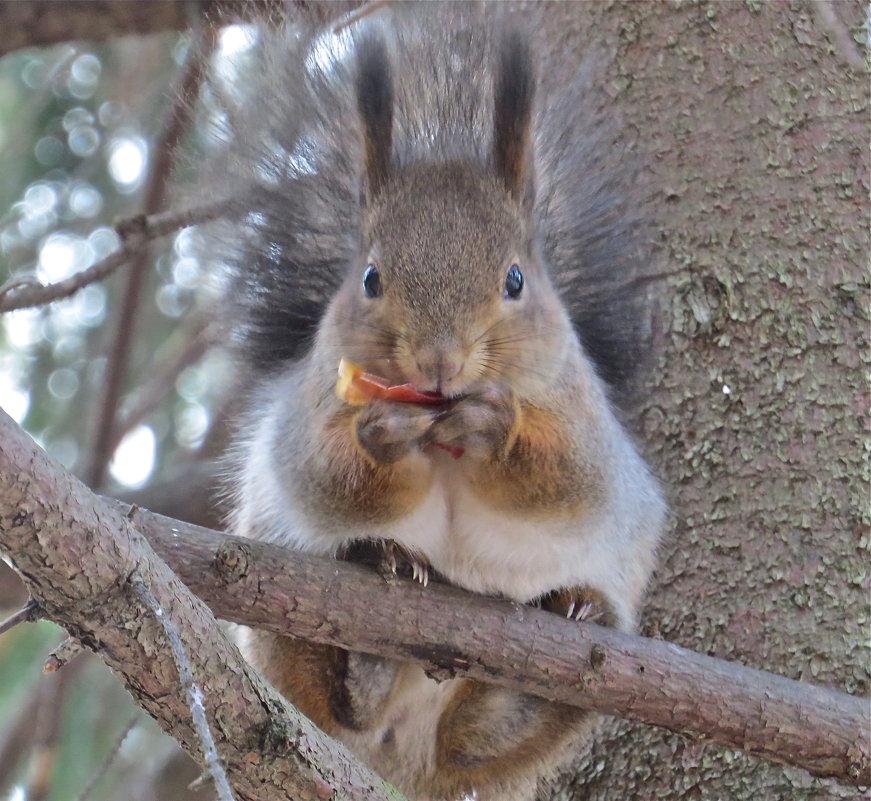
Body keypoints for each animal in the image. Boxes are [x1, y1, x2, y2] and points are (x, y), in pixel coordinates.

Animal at [213, 6, 668, 800]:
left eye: (516, 279)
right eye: (369, 277)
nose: (439, 360)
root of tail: (406, 764)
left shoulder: (587, 426)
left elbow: (566, 479)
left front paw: (497, 426)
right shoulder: (306, 412)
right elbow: (324, 472)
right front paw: (383, 433)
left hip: (568, 702)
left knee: (484, 737)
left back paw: (565, 618)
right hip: (280, 622)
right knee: (332, 684)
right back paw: (374, 616)